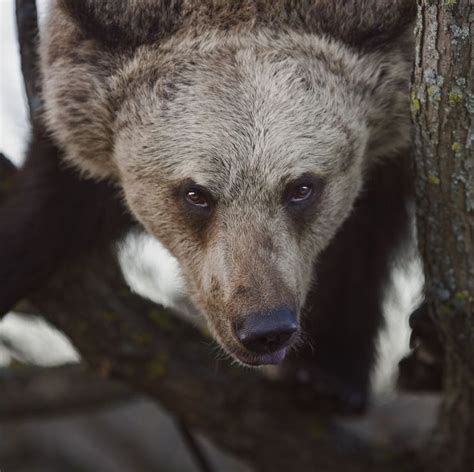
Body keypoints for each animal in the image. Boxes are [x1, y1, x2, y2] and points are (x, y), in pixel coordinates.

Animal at [0, 0, 416, 412]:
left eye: (302, 188)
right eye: (195, 193)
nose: (265, 329)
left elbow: (364, 231)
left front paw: (325, 375)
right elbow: (53, 203)